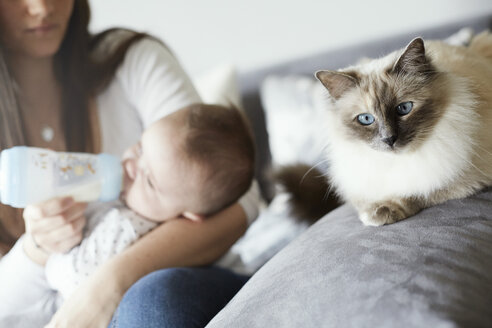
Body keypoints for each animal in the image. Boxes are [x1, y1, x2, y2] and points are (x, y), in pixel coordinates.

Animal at [278, 30, 492, 226]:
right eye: (366, 119)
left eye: (404, 109)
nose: (389, 139)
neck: (396, 161)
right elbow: (364, 200)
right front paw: (371, 210)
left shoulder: (464, 175)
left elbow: (421, 191)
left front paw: (379, 212)